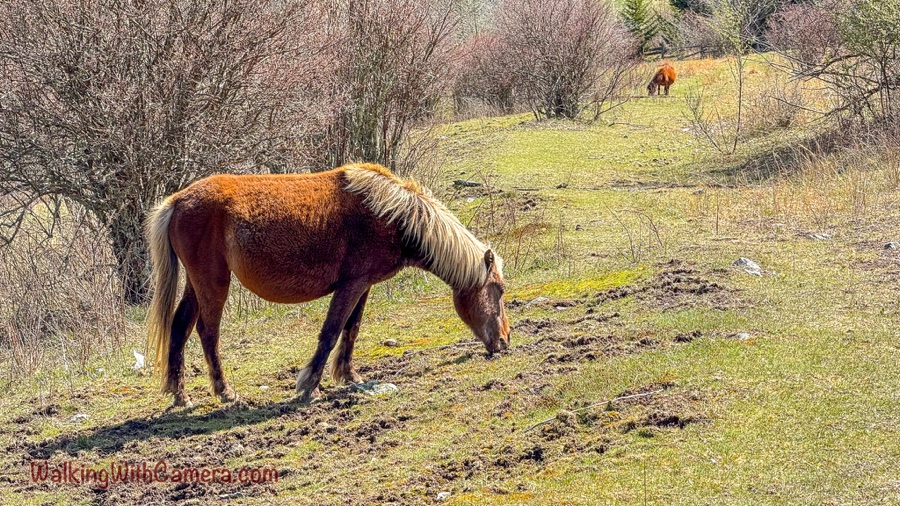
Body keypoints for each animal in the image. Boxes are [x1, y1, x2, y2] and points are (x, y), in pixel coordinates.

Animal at [145, 163, 510, 408]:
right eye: (500, 290)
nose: (505, 341)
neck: (390, 213)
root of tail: (177, 201)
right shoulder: (351, 285)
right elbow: (331, 331)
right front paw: (309, 385)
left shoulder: (362, 285)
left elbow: (352, 329)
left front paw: (349, 376)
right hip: (213, 283)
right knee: (207, 332)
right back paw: (225, 392)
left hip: (197, 285)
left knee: (180, 327)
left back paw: (180, 395)